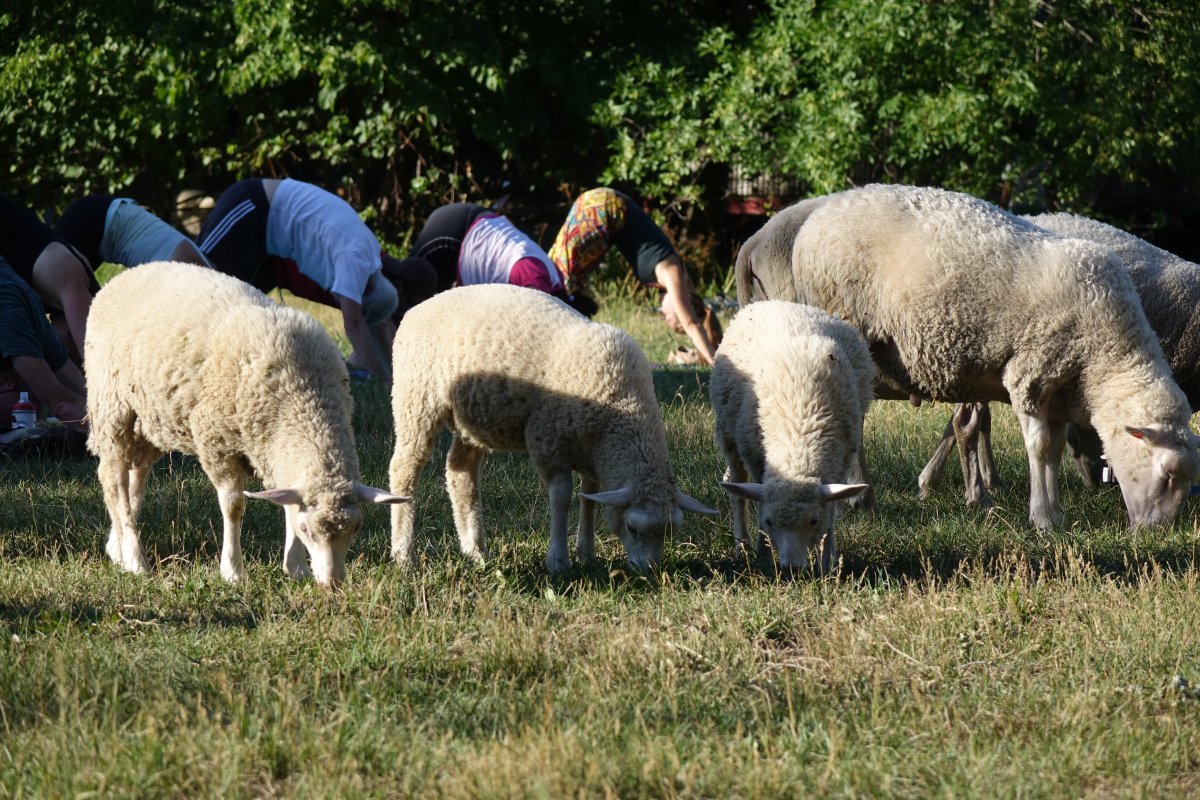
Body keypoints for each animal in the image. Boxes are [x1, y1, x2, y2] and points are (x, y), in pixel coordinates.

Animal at [85, 262, 408, 587]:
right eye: (307, 530)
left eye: (356, 528)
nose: (332, 584)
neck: (303, 396)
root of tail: (130, 273)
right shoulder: (217, 444)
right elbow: (233, 505)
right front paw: (232, 570)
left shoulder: (274, 454)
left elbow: (286, 504)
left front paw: (296, 568)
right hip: (112, 407)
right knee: (113, 479)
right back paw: (136, 560)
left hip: (151, 422)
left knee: (133, 480)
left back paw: (118, 549)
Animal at [388, 284, 715, 573]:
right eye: (632, 528)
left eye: (670, 531)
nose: (651, 571)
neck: (623, 403)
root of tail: (418, 308)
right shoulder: (548, 442)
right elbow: (562, 496)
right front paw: (558, 560)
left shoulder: (590, 452)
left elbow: (588, 496)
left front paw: (586, 552)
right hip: (416, 399)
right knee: (404, 468)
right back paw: (404, 556)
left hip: (472, 420)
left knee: (460, 472)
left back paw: (475, 551)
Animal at [710, 298, 873, 568]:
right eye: (769, 522)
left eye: (813, 521)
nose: (792, 568)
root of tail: (773, 301)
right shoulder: (755, 458)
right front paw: (763, 555)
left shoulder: (841, 460)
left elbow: (831, 511)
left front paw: (827, 560)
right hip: (728, 434)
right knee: (737, 491)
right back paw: (742, 544)